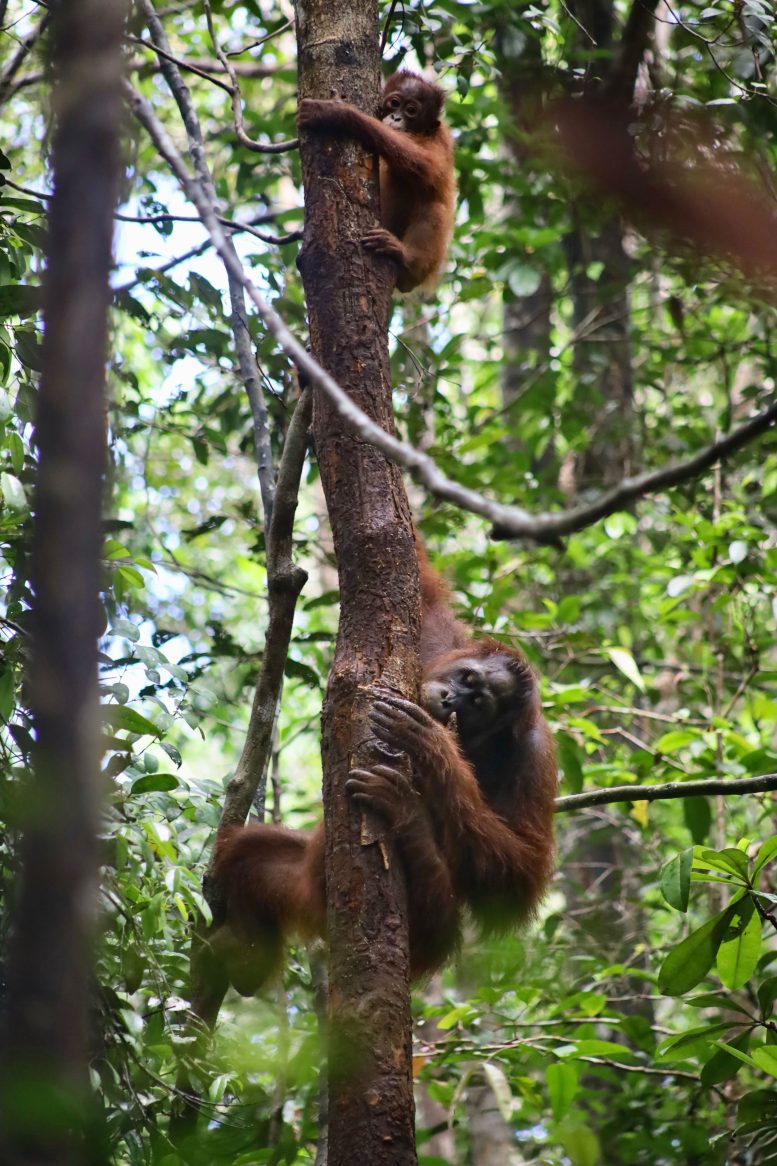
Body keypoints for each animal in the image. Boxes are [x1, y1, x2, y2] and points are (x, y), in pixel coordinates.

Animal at [209, 542, 557, 994]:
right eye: (466, 679)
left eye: (479, 703)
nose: (449, 699)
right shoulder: (437, 640)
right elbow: (421, 584)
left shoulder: (534, 756)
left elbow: (518, 877)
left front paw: (433, 748)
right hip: (302, 884)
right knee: (250, 851)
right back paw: (247, 957)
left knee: (441, 916)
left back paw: (407, 817)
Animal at [297, 71, 456, 293]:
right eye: (394, 103)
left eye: (411, 111)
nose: (396, 117)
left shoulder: (440, 140)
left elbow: (426, 164)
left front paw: (335, 113)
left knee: (433, 207)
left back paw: (406, 259)